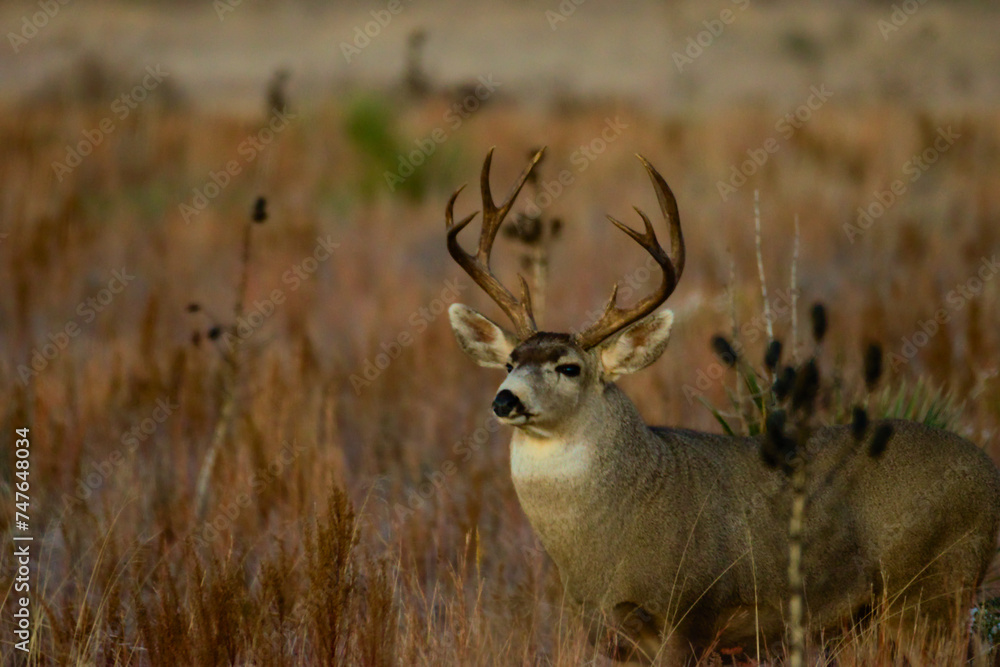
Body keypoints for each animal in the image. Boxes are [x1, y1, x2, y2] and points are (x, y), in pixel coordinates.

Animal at [445, 148, 1000, 664]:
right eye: (509, 361)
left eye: (568, 367)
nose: (505, 399)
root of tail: (990, 474)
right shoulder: (611, 633)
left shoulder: (687, 614)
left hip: (933, 588)